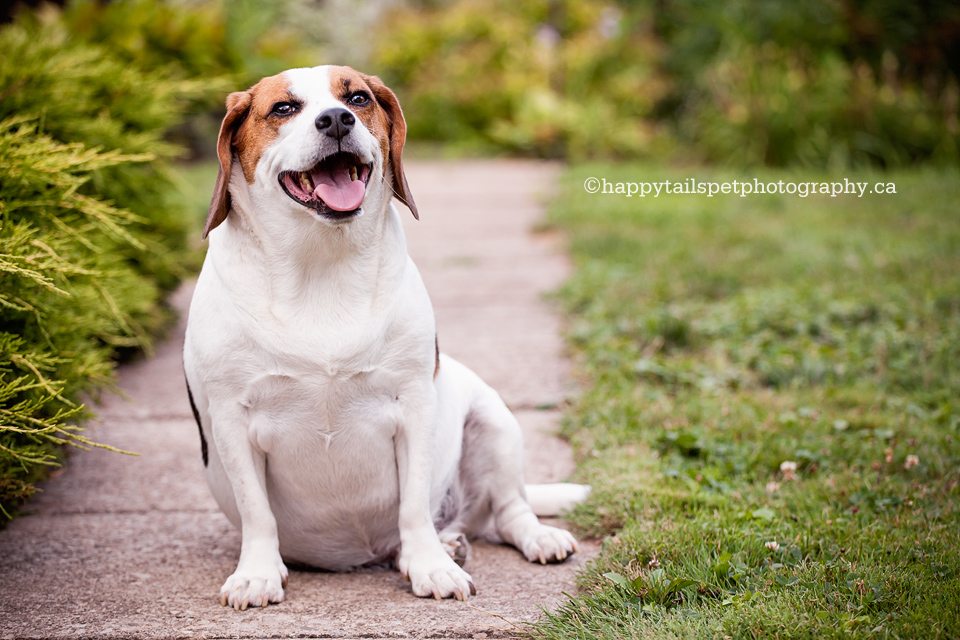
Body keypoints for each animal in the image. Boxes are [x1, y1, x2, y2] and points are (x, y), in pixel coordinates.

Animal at [178, 65, 584, 608]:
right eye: (283, 108)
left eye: (358, 98)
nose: (336, 119)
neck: (320, 262)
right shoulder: (231, 419)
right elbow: (256, 511)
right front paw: (257, 573)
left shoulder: (412, 404)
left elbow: (413, 505)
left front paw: (430, 565)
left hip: (495, 423)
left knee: (509, 511)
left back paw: (518, 538)